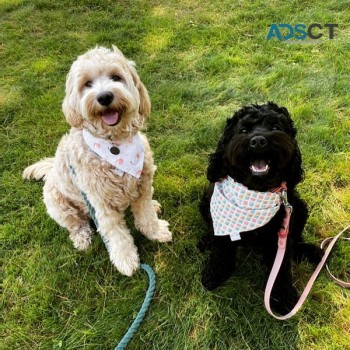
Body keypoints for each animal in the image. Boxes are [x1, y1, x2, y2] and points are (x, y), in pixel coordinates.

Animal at [23, 45, 172, 276]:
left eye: (116, 77)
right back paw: (82, 238)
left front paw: (155, 231)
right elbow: (116, 233)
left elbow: (145, 214)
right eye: (87, 84)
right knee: (76, 223)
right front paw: (126, 259)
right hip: (59, 205)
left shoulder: (143, 185)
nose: (104, 97)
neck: (114, 145)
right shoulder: (100, 202)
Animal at [200, 102, 322, 314]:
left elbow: (281, 270)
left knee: (296, 239)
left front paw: (284, 298)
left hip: (299, 209)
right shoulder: (222, 225)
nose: (258, 141)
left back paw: (309, 252)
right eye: (243, 130)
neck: (255, 191)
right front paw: (214, 275)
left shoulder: (280, 235)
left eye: (275, 127)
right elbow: (220, 252)